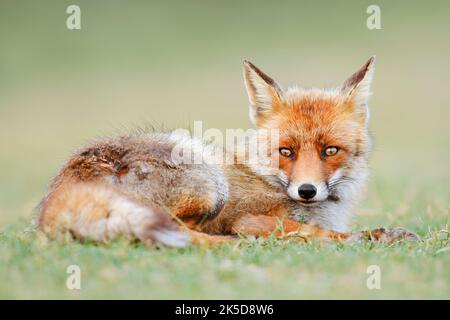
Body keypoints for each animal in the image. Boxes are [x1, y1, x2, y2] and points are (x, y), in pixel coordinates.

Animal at [37, 57, 418, 246]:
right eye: (286, 151)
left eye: (330, 150)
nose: (307, 191)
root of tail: (63, 189)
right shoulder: (248, 216)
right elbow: (316, 231)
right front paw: (368, 237)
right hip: (208, 179)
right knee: (190, 233)